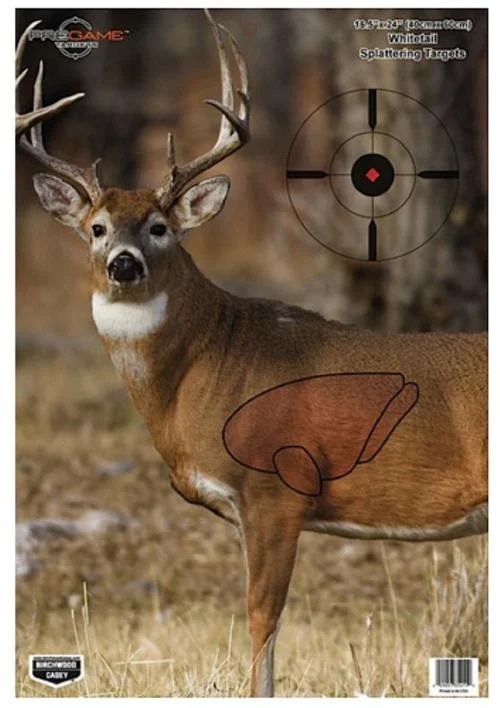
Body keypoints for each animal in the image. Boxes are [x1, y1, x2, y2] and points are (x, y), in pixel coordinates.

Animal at [17, 10, 487, 698]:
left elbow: (262, 617)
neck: (205, 369)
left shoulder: (275, 487)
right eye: (96, 228)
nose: (124, 264)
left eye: (159, 227)